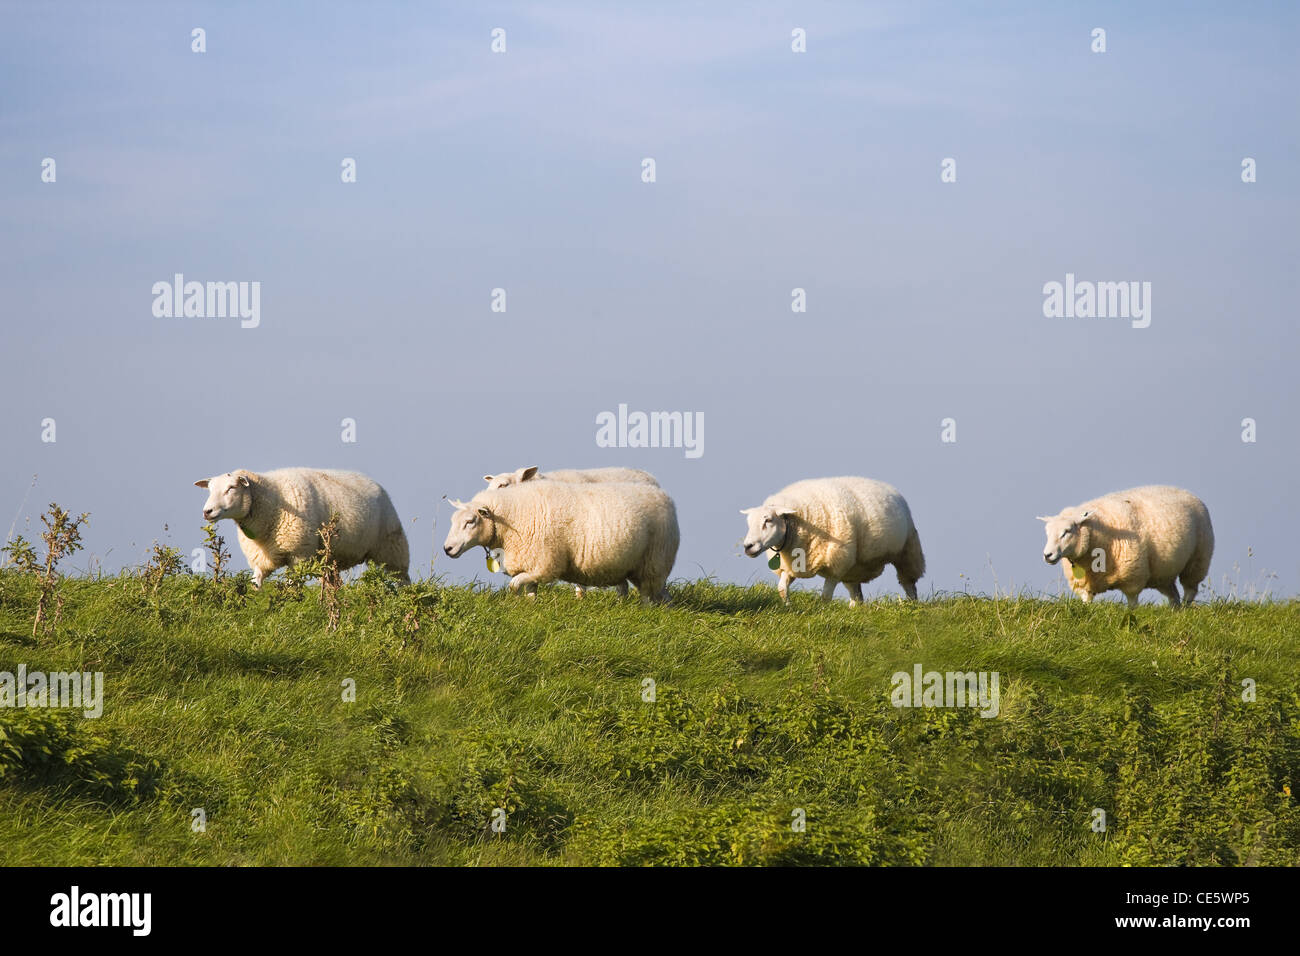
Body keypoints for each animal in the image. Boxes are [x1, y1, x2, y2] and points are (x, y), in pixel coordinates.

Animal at [194, 468, 409, 586]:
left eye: (231, 488)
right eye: (210, 490)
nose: (207, 511)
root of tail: (371, 481)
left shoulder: (298, 556)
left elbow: (291, 586)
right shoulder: (261, 560)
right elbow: (256, 585)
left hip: (391, 547)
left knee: (403, 578)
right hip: (332, 557)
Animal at [442, 480, 678, 603]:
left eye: (470, 521)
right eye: (453, 520)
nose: (447, 549)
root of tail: (662, 494)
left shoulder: (545, 565)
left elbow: (513, 585)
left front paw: (515, 601)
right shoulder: (532, 567)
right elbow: (529, 591)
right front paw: (529, 608)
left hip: (654, 562)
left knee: (648, 596)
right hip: (637, 567)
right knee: (659, 595)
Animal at [740, 476, 925, 606]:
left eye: (768, 520)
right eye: (748, 522)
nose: (747, 547)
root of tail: (889, 487)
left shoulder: (836, 565)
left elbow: (825, 596)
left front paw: (822, 612)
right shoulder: (790, 566)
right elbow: (781, 589)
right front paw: (788, 606)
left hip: (907, 550)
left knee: (909, 583)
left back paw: (911, 606)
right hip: (854, 566)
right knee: (856, 594)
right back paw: (854, 610)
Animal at [1038, 485, 1213, 608]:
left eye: (1066, 532)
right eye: (1047, 532)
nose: (1047, 555)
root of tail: (1186, 492)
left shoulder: (1132, 578)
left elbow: (1132, 605)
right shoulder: (1084, 585)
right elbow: (1086, 603)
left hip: (1197, 561)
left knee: (1190, 591)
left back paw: (1184, 611)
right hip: (1162, 574)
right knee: (1173, 595)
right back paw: (1174, 612)